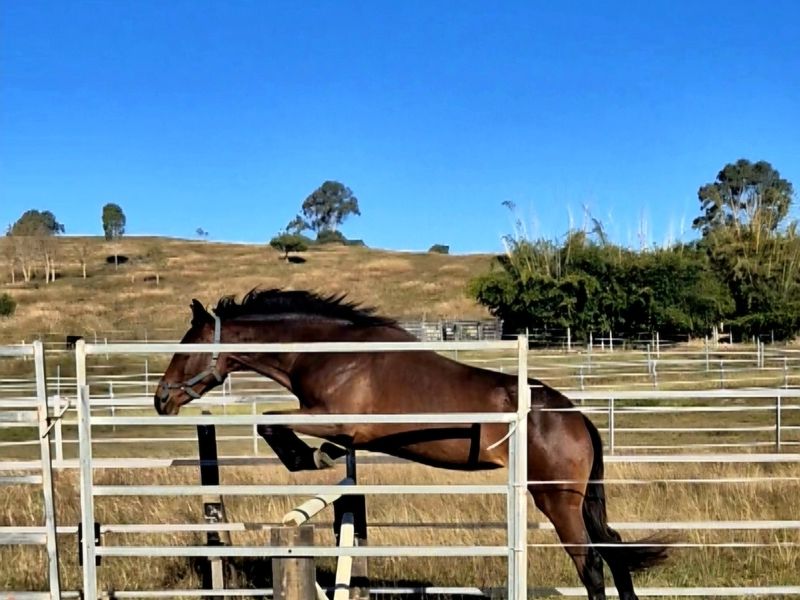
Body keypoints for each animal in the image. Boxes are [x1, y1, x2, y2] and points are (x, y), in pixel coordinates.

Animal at [154, 289, 668, 600]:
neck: (331, 353)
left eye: (185, 349)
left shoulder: (333, 417)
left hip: (556, 500)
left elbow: (270, 422)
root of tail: (576, 417)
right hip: (578, 501)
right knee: (614, 551)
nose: (161, 399)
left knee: (591, 563)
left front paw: (306, 456)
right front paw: (321, 455)